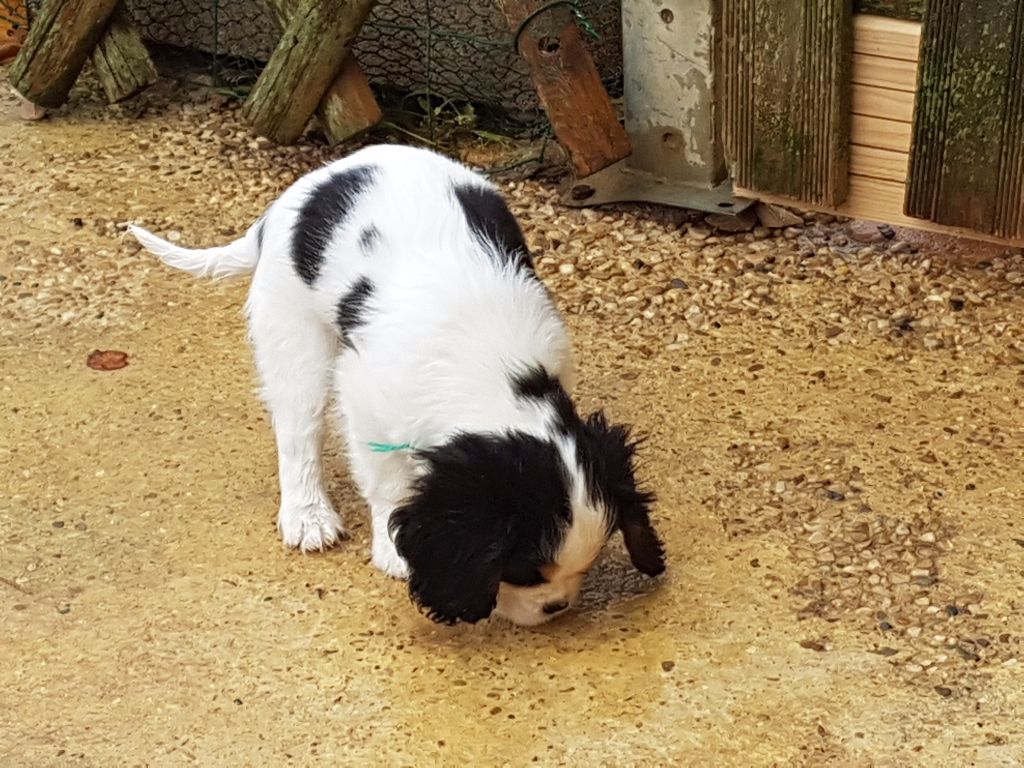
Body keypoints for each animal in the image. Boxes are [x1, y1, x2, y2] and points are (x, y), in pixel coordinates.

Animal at [129, 144, 665, 626]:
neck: (490, 367)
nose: (557, 608)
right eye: (523, 572)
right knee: (297, 428)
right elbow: (385, 479)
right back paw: (307, 515)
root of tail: (286, 204)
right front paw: (392, 549)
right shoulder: (367, 402)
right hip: (293, 334)